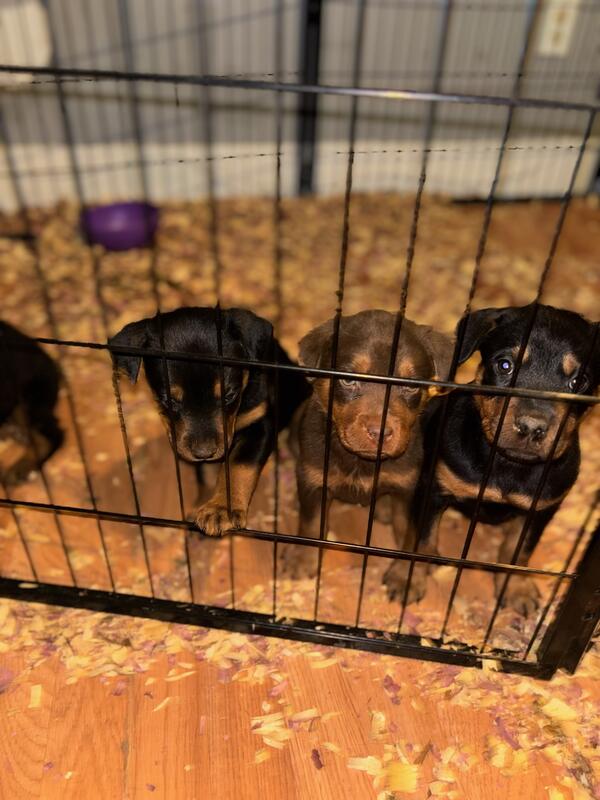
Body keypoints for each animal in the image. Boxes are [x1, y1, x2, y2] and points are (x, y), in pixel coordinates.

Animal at [109, 306, 310, 535]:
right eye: (167, 400)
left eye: (229, 395)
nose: (204, 452)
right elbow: (206, 472)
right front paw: (204, 503)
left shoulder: (260, 426)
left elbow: (238, 467)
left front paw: (221, 509)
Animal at [284, 309, 453, 585]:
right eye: (348, 380)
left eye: (411, 385)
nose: (379, 432)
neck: (361, 461)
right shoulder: (314, 479)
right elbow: (310, 522)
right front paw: (302, 559)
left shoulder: (410, 488)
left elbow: (410, 532)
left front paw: (405, 576)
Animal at [412, 303, 600, 615]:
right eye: (504, 366)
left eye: (579, 382)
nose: (532, 427)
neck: (509, 465)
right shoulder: (434, 488)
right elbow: (422, 539)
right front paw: (407, 578)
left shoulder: (541, 509)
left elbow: (518, 551)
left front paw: (516, 589)